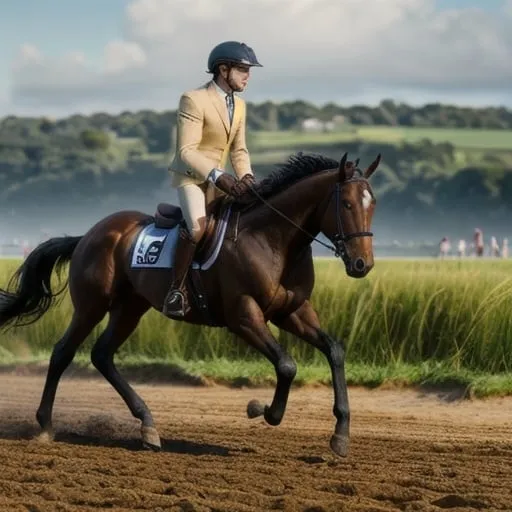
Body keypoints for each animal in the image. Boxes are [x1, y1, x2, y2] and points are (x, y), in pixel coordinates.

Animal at [0, 151, 380, 456]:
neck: (275, 242)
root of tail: (88, 235)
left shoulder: (293, 312)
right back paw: (45, 425)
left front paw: (340, 435)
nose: (362, 265)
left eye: (372, 204)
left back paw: (148, 426)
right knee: (63, 352)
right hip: (92, 306)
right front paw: (262, 410)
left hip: (130, 308)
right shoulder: (243, 316)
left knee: (102, 355)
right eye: (346, 205)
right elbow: (287, 365)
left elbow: (334, 350)